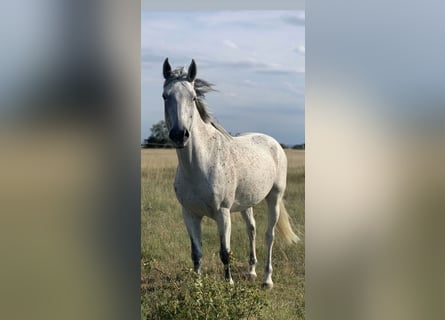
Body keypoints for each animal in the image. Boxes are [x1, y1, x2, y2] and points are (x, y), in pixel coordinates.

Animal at [160, 58, 298, 290]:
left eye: (193, 97)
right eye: (164, 96)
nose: (179, 135)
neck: (199, 165)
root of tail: (273, 142)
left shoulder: (222, 213)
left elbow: (225, 252)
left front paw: (229, 284)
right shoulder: (189, 214)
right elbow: (196, 253)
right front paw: (197, 288)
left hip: (274, 198)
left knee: (269, 236)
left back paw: (267, 279)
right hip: (246, 203)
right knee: (251, 229)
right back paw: (251, 272)